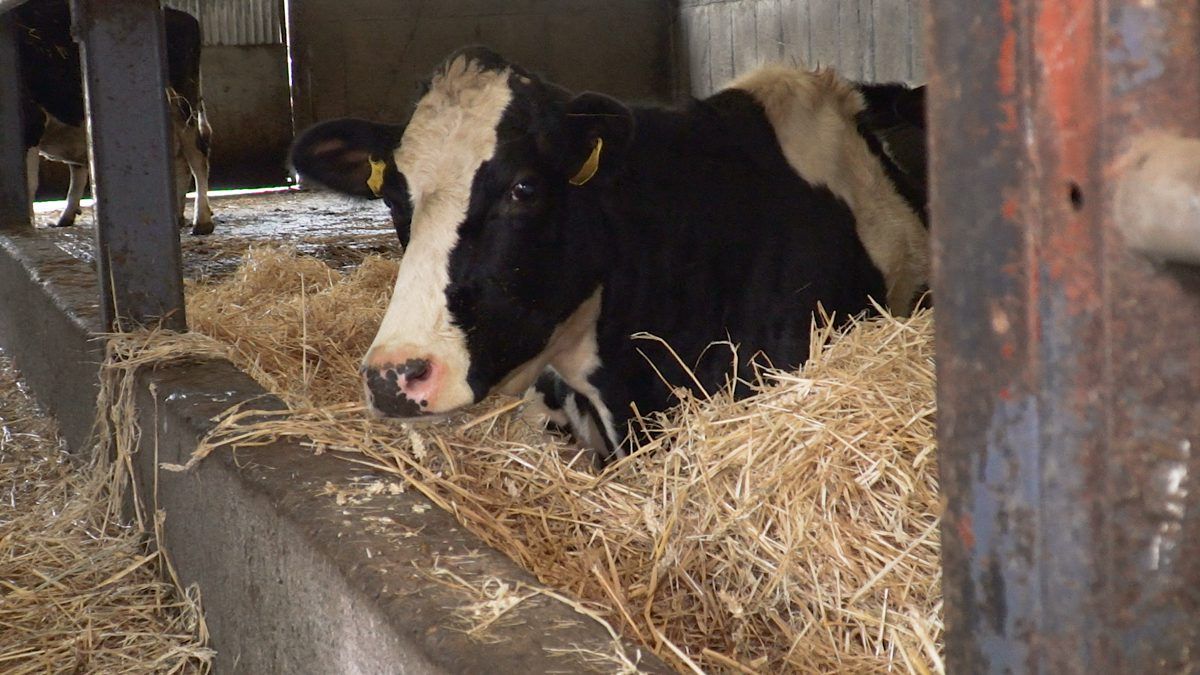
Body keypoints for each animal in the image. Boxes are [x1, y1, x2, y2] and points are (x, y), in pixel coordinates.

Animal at [15, 0, 214, 235]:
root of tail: (182, 16)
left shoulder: (31, 122)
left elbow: (28, 184)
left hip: (184, 105)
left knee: (197, 157)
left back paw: (201, 221)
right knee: (179, 161)